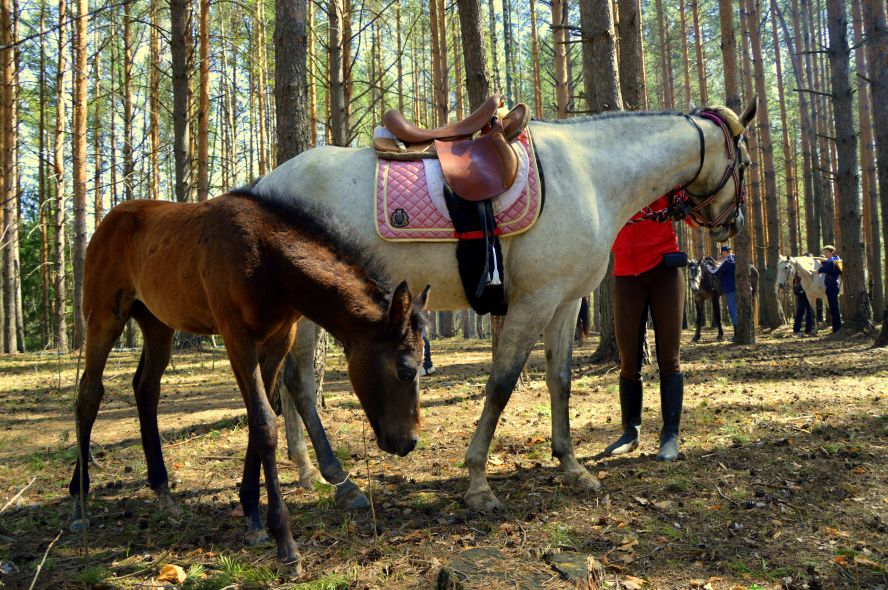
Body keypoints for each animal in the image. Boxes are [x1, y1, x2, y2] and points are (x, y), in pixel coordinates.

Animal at [69, 192, 430, 576]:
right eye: (405, 371)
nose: (408, 442)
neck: (269, 261)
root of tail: (110, 219)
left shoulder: (278, 339)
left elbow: (262, 421)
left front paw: (253, 519)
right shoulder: (236, 337)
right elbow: (264, 424)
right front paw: (286, 544)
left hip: (156, 322)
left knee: (146, 387)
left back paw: (163, 491)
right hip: (104, 314)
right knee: (89, 393)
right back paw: (79, 502)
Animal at [255, 100, 756, 512]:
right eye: (746, 162)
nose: (733, 224)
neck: (590, 175)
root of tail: (266, 182)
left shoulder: (564, 302)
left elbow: (560, 382)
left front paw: (571, 466)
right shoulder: (534, 301)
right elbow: (501, 384)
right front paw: (479, 482)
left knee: (289, 384)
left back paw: (307, 472)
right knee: (300, 383)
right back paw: (341, 482)